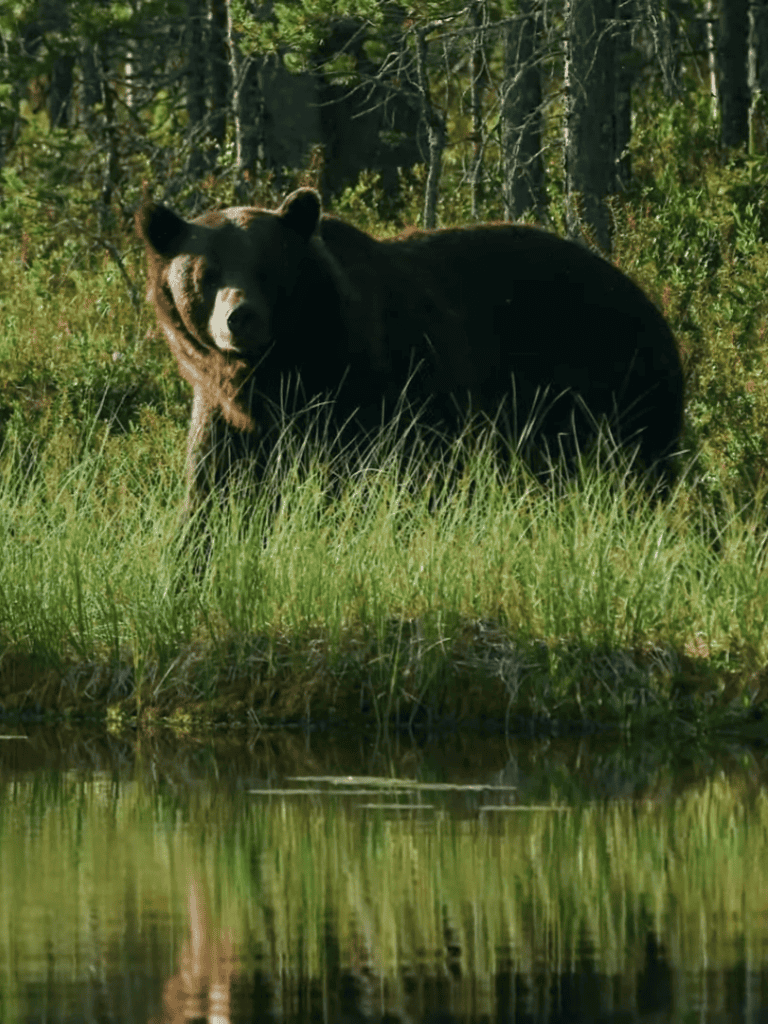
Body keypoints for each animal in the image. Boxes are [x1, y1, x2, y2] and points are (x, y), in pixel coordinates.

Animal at [136, 187, 684, 512]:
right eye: (205, 274)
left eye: (267, 268)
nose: (240, 318)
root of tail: (645, 297)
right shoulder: (227, 416)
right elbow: (215, 494)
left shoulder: (378, 396)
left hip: (610, 383)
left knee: (638, 468)